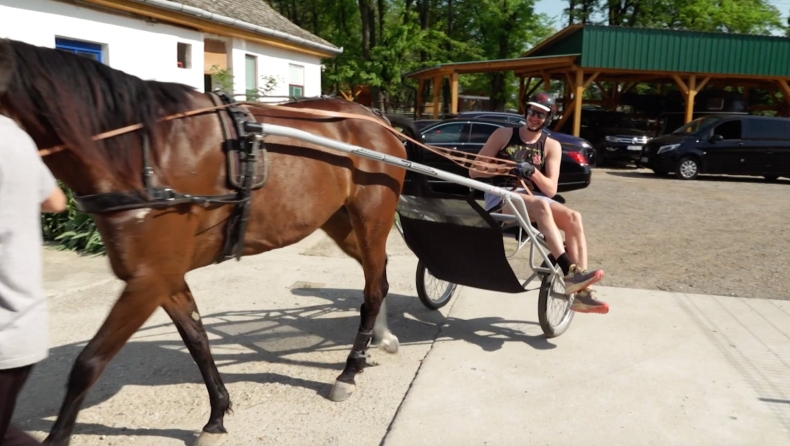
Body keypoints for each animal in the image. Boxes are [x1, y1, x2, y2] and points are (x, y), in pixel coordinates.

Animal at [1, 39, 414, 446]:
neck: (143, 154)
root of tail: (377, 120)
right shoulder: (163, 277)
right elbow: (197, 340)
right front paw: (217, 415)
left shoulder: (148, 279)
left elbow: (88, 363)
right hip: (340, 223)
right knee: (378, 279)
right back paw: (378, 343)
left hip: (371, 219)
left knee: (373, 289)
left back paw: (349, 370)